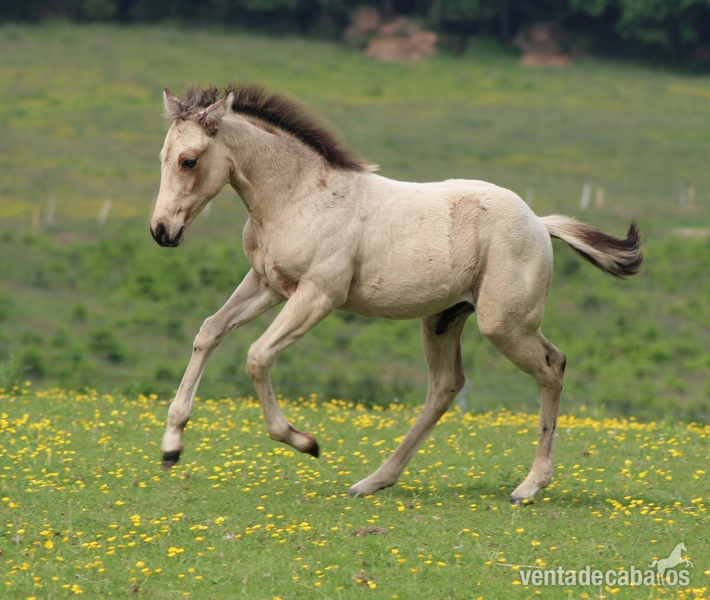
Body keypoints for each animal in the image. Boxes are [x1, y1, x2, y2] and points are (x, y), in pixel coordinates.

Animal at [150, 83, 642, 504]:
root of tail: (540, 222)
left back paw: (530, 486)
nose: (161, 232)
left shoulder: (318, 295)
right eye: (162, 157)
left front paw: (304, 442)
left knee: (551, 368)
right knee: (446, 387)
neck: (298, 196)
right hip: (443, 319)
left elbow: (256, 356)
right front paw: (171, 446)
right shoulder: (266, 284)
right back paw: (374, 480)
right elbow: (209, 332)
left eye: (189, 161)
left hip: (504, 324)